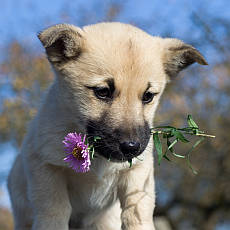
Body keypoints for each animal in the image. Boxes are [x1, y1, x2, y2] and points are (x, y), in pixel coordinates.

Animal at [8, 22, 208, 230]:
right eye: (102, 92)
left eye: (148, 96)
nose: (131, 147)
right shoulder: (46, 168)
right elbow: (54, 212)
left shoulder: (137, 174)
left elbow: (137, 214)